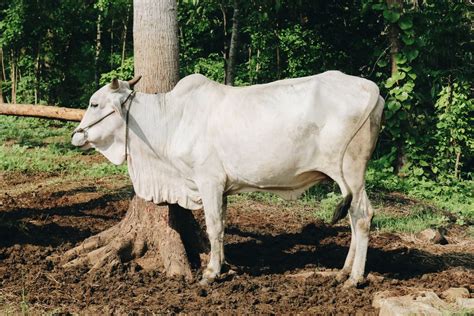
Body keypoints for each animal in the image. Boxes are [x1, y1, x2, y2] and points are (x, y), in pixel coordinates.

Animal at [73, 71, 386, 286]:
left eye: (94, 104)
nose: (76, 135)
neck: (172, 120)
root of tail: (370, 88)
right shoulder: (222, 188)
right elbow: (222, 225)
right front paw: (225, 266)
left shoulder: (208, 180)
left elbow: (213, 227)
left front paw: (211, 273)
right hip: (347, 179)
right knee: (354, 218)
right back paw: (343, 271)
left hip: (350, 171)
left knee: (362, 216)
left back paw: (354, 278)